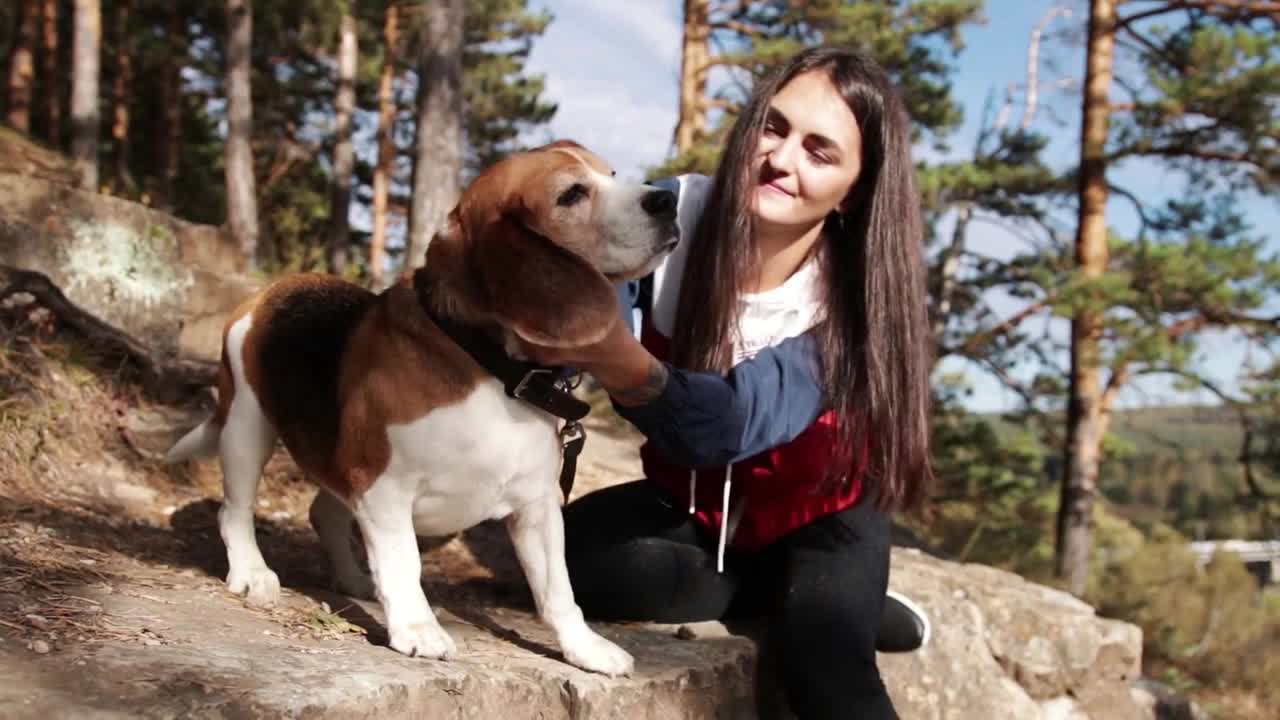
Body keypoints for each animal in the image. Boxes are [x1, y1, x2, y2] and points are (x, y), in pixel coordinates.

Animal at [167, 140, 680, 671]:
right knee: (236, 510)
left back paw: (354, 580)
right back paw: (253, 572)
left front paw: (584, 648)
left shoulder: (536, 506)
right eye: (572, 195)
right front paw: (417, 628)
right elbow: (405, 561)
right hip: (247, 428)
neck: (490, 367)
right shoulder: (384, 488)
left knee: (324, 513)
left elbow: (558, 588)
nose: (667, 200)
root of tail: (274, 289)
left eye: (612, 175)